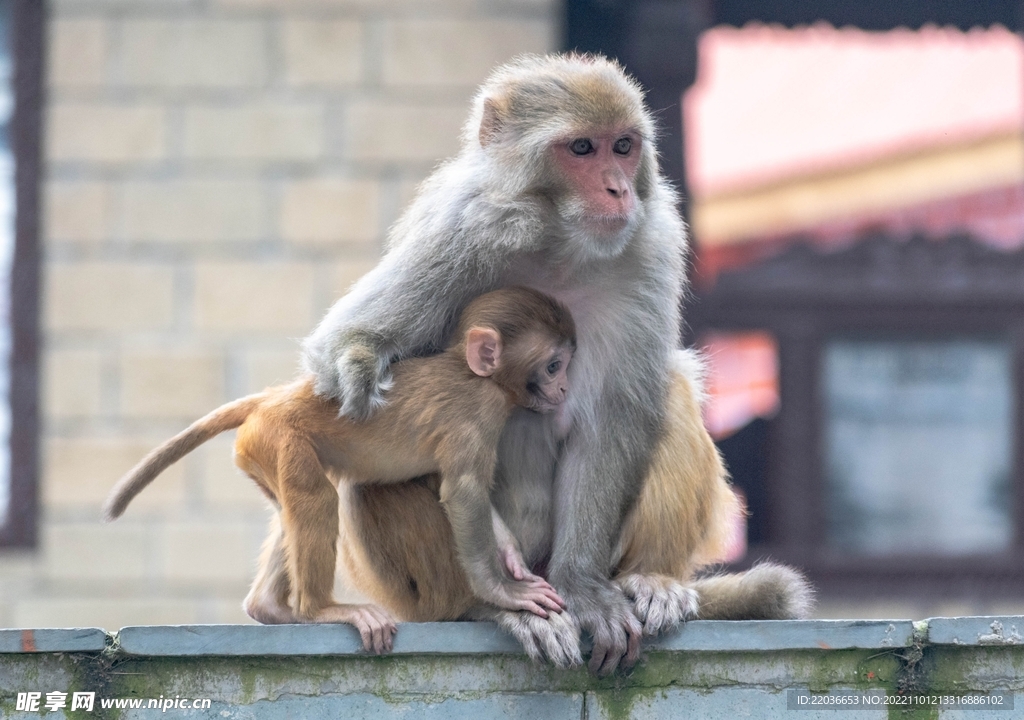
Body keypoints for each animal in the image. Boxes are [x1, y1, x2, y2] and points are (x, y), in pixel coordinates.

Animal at [103, 286, 577, 655]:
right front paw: (504, 592)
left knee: (294, 507)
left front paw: (511, 556)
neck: (475, 373)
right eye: (554, 365)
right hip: (280, 438)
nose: (565, 387)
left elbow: (448, 484)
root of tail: (273, 400)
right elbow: (462, 490)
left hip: (261, 452)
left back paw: (267, 607)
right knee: (318, 498)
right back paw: (319, 610)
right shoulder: (478, 412)